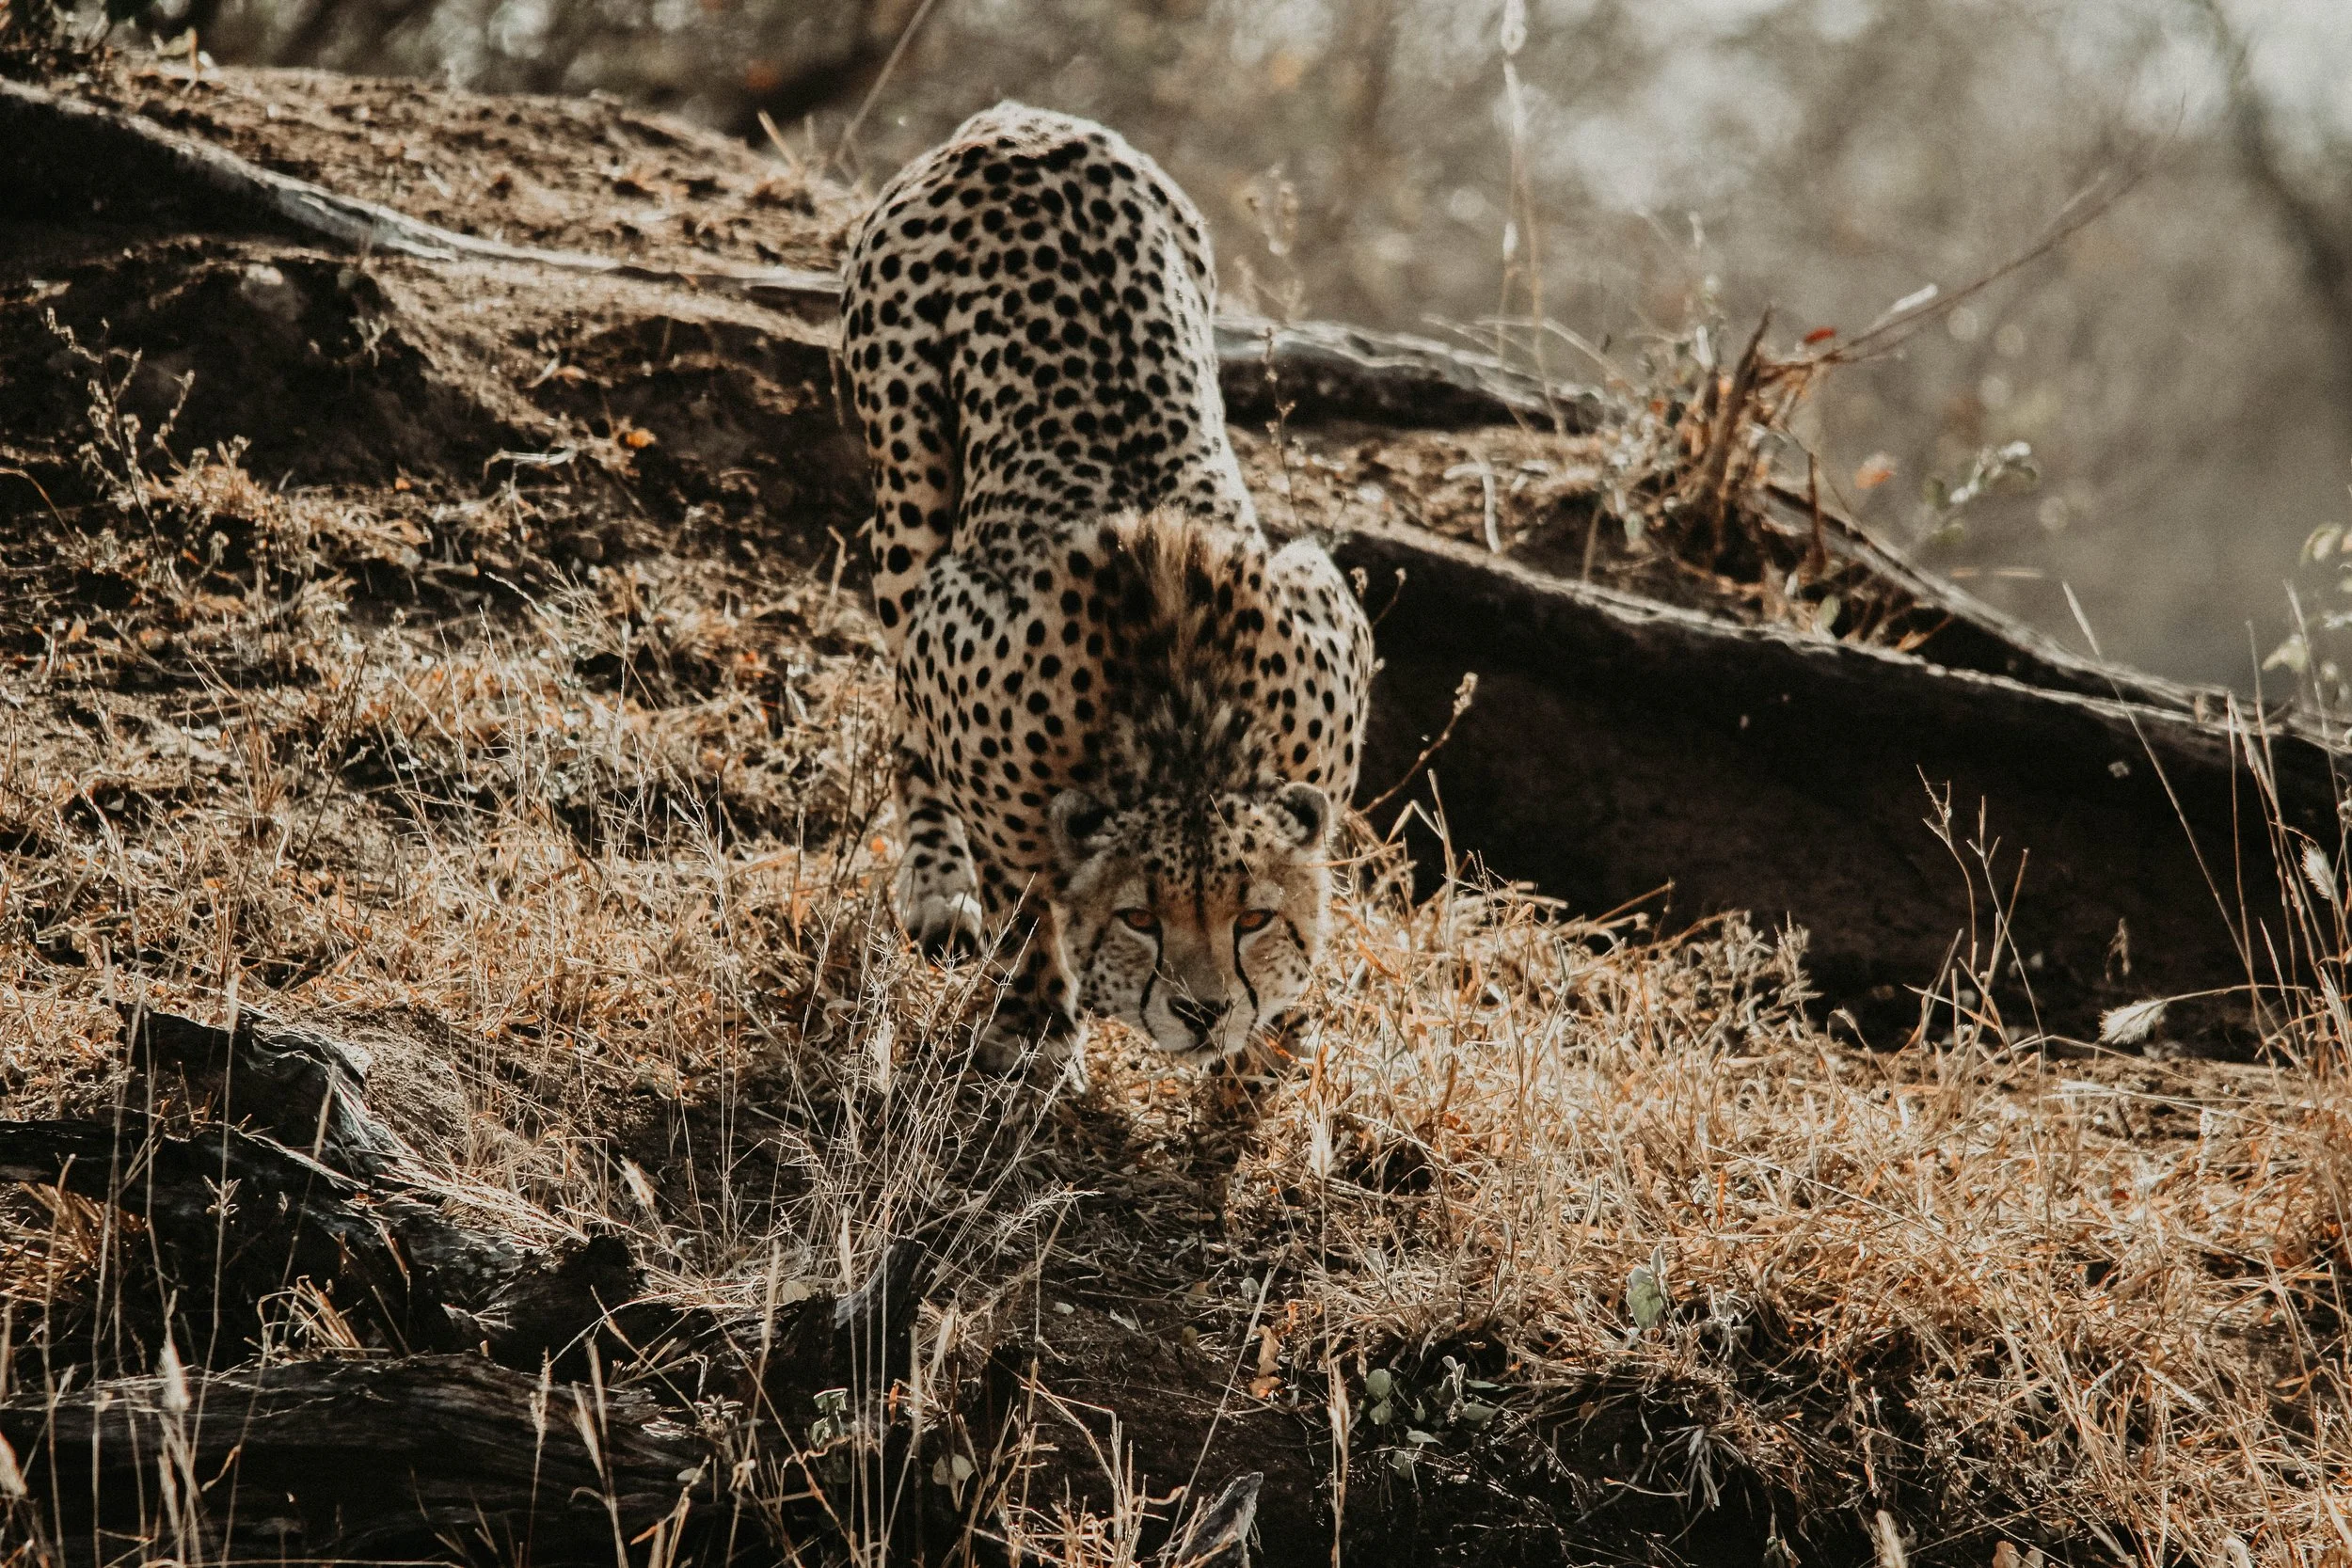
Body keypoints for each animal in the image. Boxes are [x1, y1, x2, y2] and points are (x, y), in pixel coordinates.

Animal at [838, 101, 1375, 1076]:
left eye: (1251, 917)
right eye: (1141, 919)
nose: (1204, 1010)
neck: (1184, 729)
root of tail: (1020, 121)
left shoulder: (1325, 623)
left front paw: (1267, 1037)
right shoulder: (948, 626)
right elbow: (1026, 895)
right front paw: (1035, 1022)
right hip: (909, 485)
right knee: (909, 731)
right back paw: (939, 887)